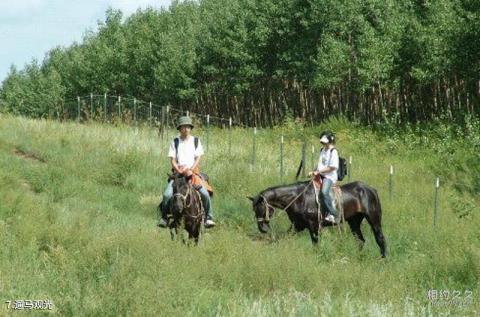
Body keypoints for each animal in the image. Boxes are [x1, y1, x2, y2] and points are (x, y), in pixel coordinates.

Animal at [249, 179, 388, 256]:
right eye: (253, 209)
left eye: (260, 208)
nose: (262, 228)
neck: (298, 198)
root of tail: (371, 189)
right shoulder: (297, 226)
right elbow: (281, 238)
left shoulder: (313, 226)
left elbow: (316, 244)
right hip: (354, 222)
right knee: (360, 240)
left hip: (374, 219)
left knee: (380, 238)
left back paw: (383, 259)